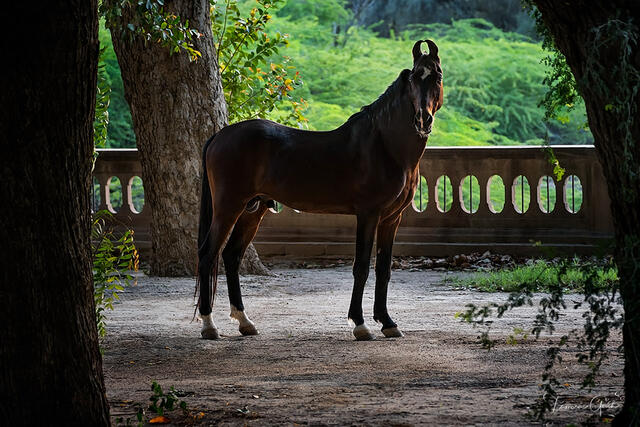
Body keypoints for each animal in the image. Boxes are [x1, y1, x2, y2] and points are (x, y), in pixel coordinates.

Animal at [197, 39, 443, 341]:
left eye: (437, 77)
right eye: (414, 79)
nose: (423, 120)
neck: (385, 146)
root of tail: (219, 135)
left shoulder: (391, 219)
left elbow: (383, 269)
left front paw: (387, 322)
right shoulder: (368, 214)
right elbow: (361, 267)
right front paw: (360, 324)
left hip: (252, 210)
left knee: (231, 255)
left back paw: (245, 322)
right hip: (228, 207)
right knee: (208, 254)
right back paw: (209, 326)